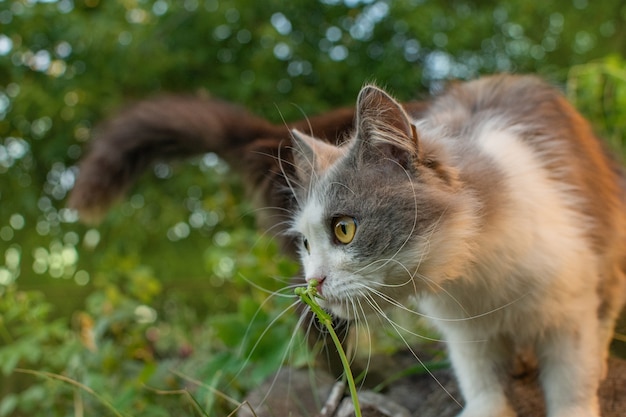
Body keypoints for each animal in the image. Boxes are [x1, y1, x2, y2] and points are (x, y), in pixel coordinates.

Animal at [66, 75, 620, 416]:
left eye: (344, 230)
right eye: (305, 243)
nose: (313, 282)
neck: (477, 278)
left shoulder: (571, 306)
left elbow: (571, 380)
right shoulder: (465, 329)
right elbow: (481, 379)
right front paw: (487, 405)